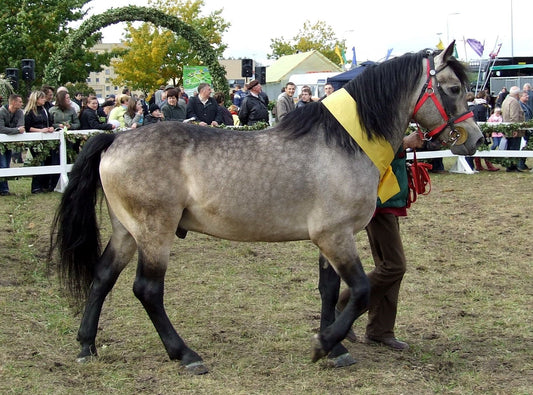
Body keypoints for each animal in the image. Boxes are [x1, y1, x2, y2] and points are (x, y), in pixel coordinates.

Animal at [50, 42, 482, 374]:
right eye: (453, 87)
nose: (474, 138)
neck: (345, 142)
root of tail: (115, 139)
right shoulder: (335, 236)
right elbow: (359, 291)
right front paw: (323, 344)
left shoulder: (328, 239)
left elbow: (329, 290)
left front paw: (338, 348)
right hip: (155, 233)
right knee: (147, 290)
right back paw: (185, 354)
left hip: (127, 231)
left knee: (103, 277)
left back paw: (86, 346)